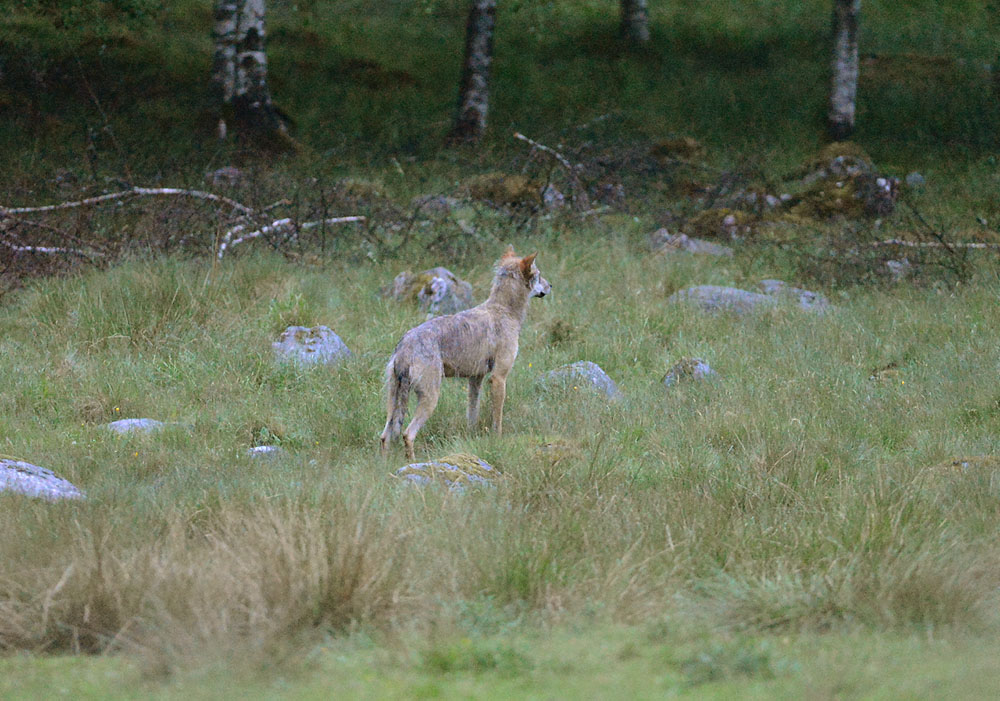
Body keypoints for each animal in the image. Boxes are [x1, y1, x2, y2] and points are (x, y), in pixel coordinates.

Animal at [382, 246, 556, 460]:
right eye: (538, 275)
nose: (550, 285)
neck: (504, 310)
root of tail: (405, 345)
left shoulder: (475, 379)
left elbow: (472, 416)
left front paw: (471, 441)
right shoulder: (499, 378)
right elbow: (497, 419)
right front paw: (497, 442)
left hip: (394, 403)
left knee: (385, 436)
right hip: (430, 399)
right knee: (407, 434)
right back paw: (412, 463)